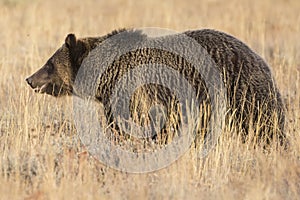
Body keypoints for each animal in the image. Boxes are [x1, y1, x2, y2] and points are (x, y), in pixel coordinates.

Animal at [25, 28, 286, 146]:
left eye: (49, 63)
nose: (29, 79)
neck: (107, 75)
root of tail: (261, 60)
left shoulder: (135, 94)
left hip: (242, 92)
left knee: (265, 125)